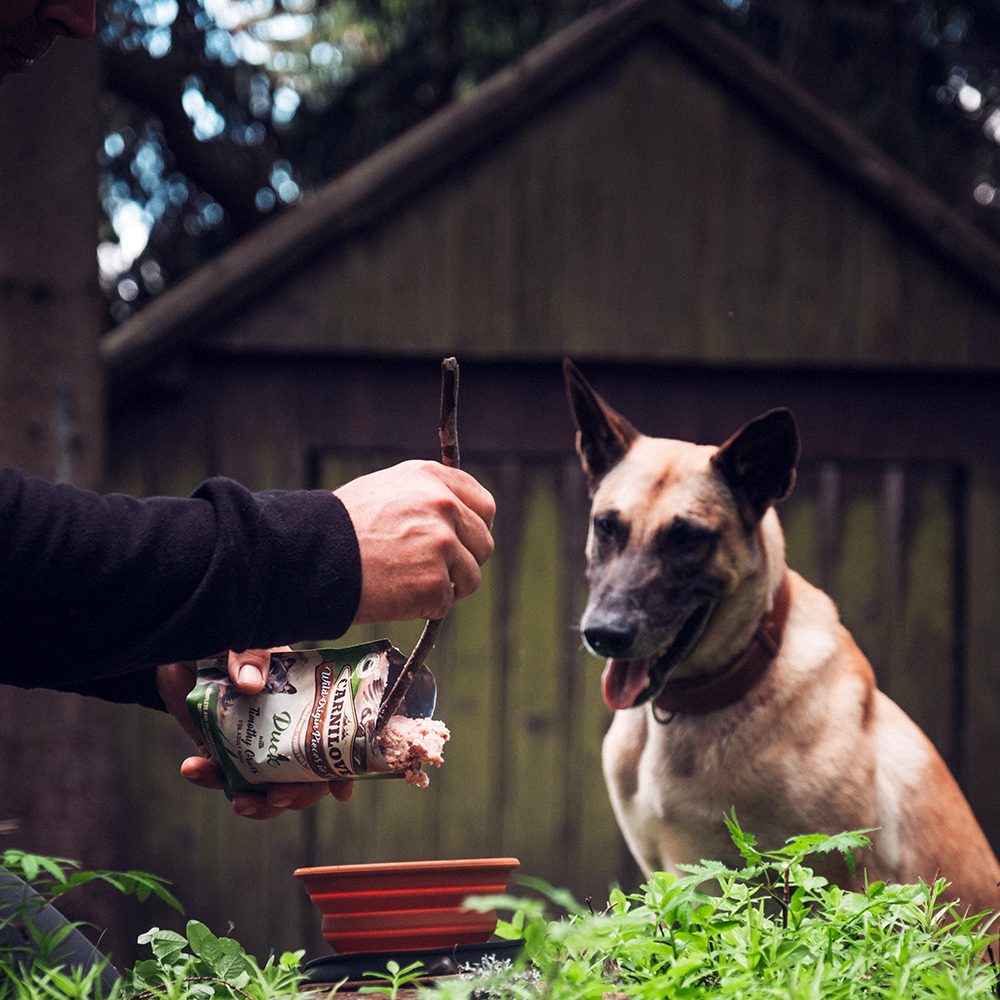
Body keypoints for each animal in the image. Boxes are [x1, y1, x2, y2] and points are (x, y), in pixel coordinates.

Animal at [564, 362, 1000, 920]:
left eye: (686, 538)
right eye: (607, 526)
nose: (605, 634)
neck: (702, 702)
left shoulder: (828, 882)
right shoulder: (668, 878)